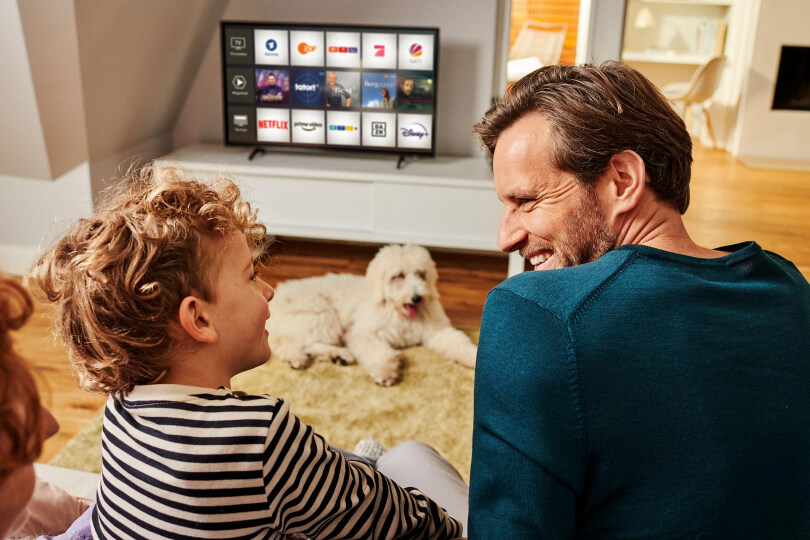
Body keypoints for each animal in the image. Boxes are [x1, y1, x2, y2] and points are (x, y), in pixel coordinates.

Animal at [268, 243, 476, 386]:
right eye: (399, 276)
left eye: (421, 274)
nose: (417, 298)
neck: (396, 311)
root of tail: (278, 295)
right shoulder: (364, 333)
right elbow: (377, 351)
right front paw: (385, 371)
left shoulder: (436, 330)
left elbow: (457, 341)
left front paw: (473, 357)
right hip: (321, 315)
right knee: (286, 341)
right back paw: (296, 358)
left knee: (308, 343)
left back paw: (340, 355)